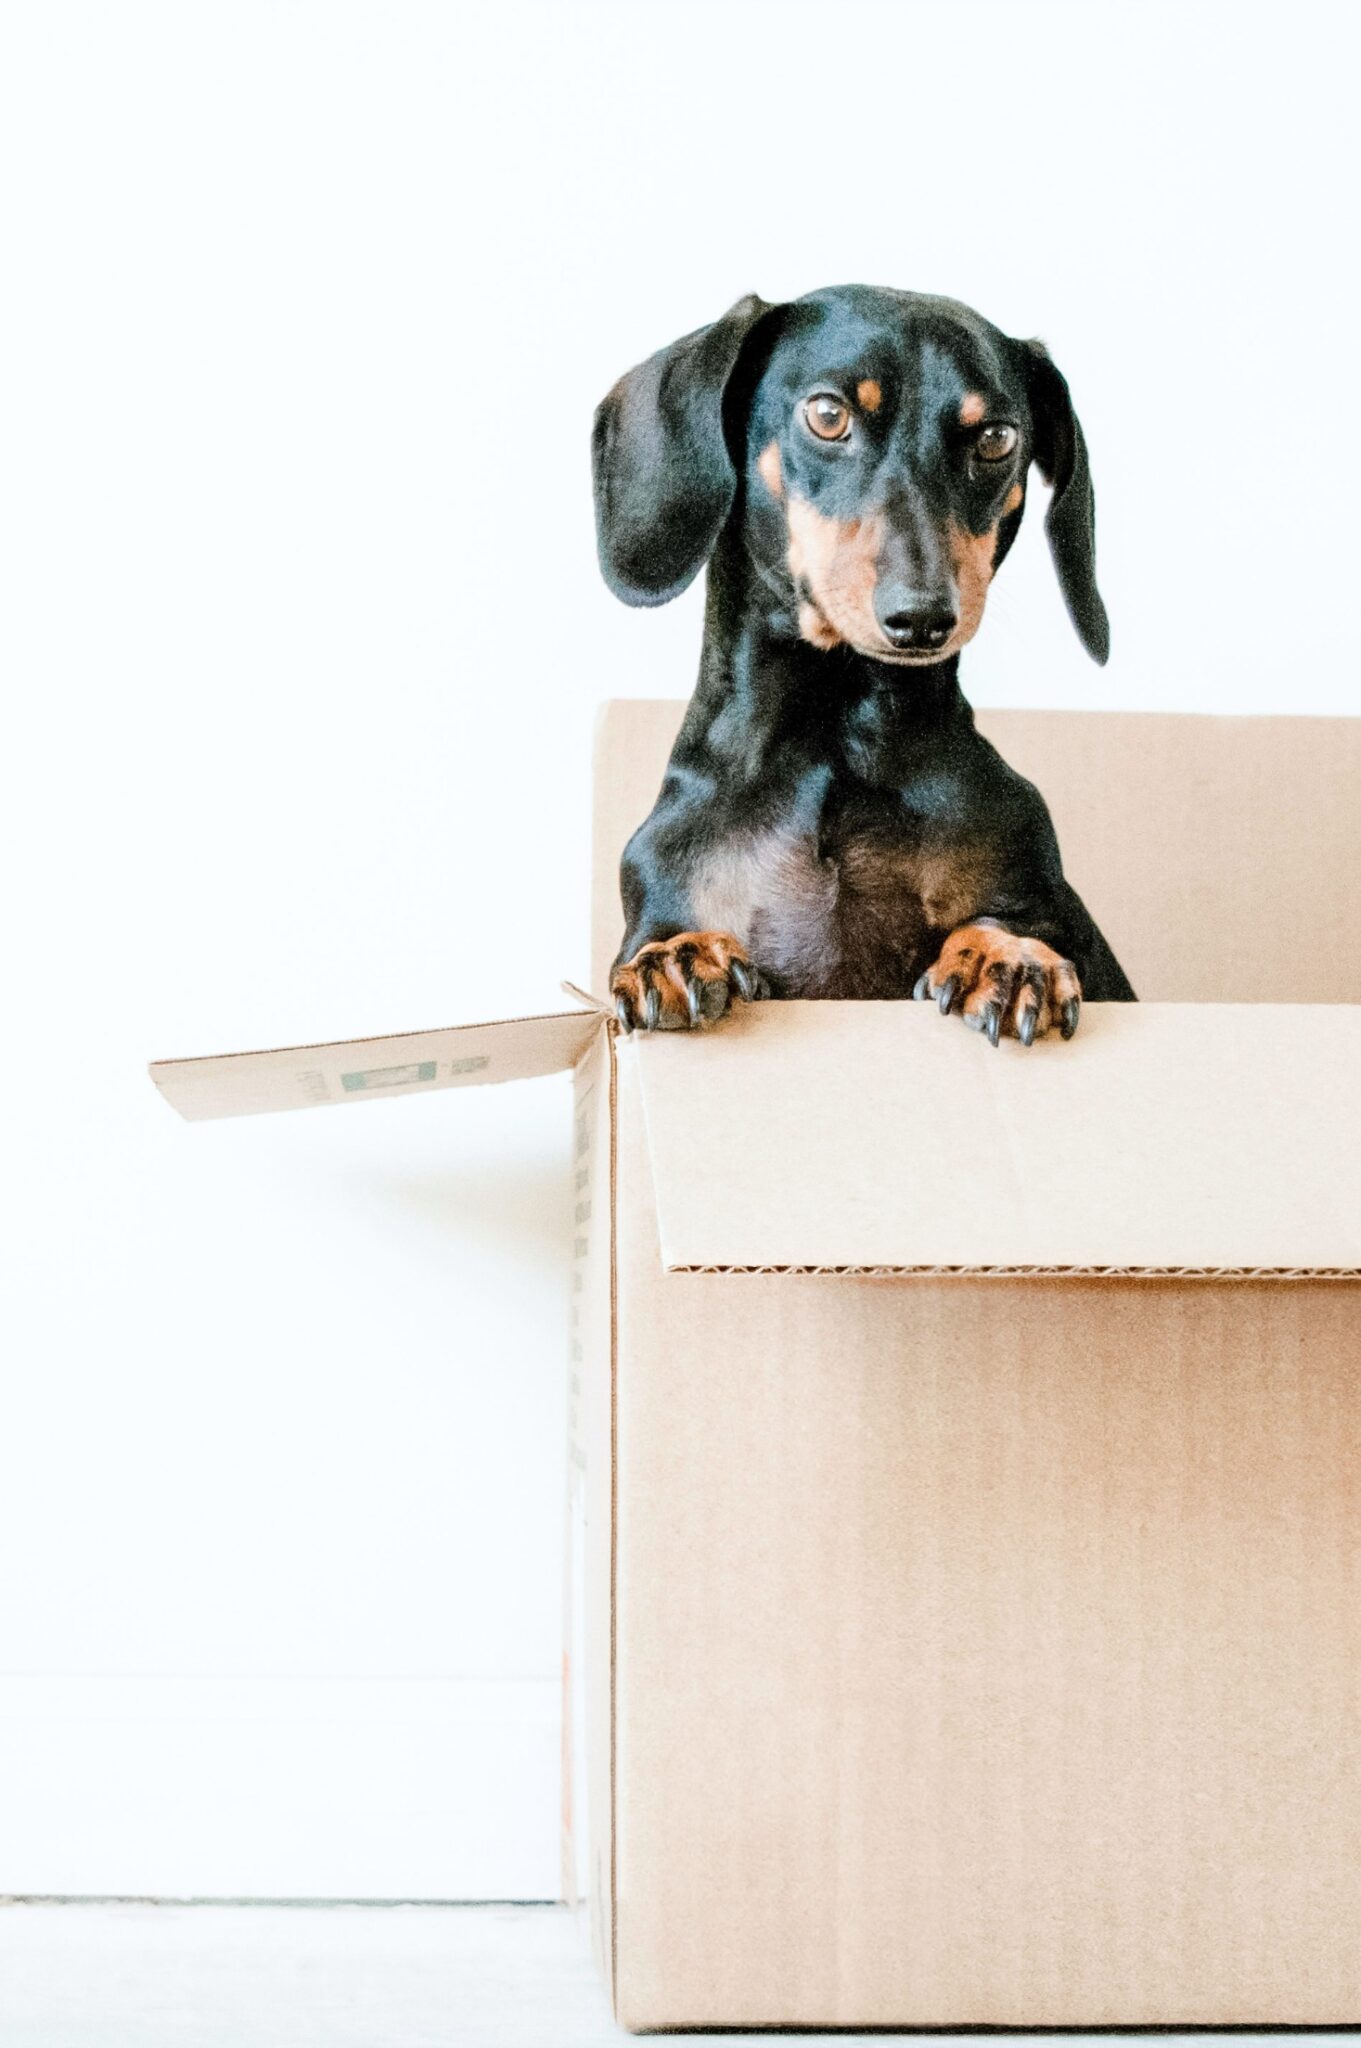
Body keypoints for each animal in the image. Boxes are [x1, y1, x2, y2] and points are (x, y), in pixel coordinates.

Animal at [589, 284, 1129, 1040]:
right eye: (827, 414)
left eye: (996, 438)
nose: (922, 618)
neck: (834, 735)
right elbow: (665, 936)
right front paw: (677, 955)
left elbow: (1009, 921)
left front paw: (1008, 957)